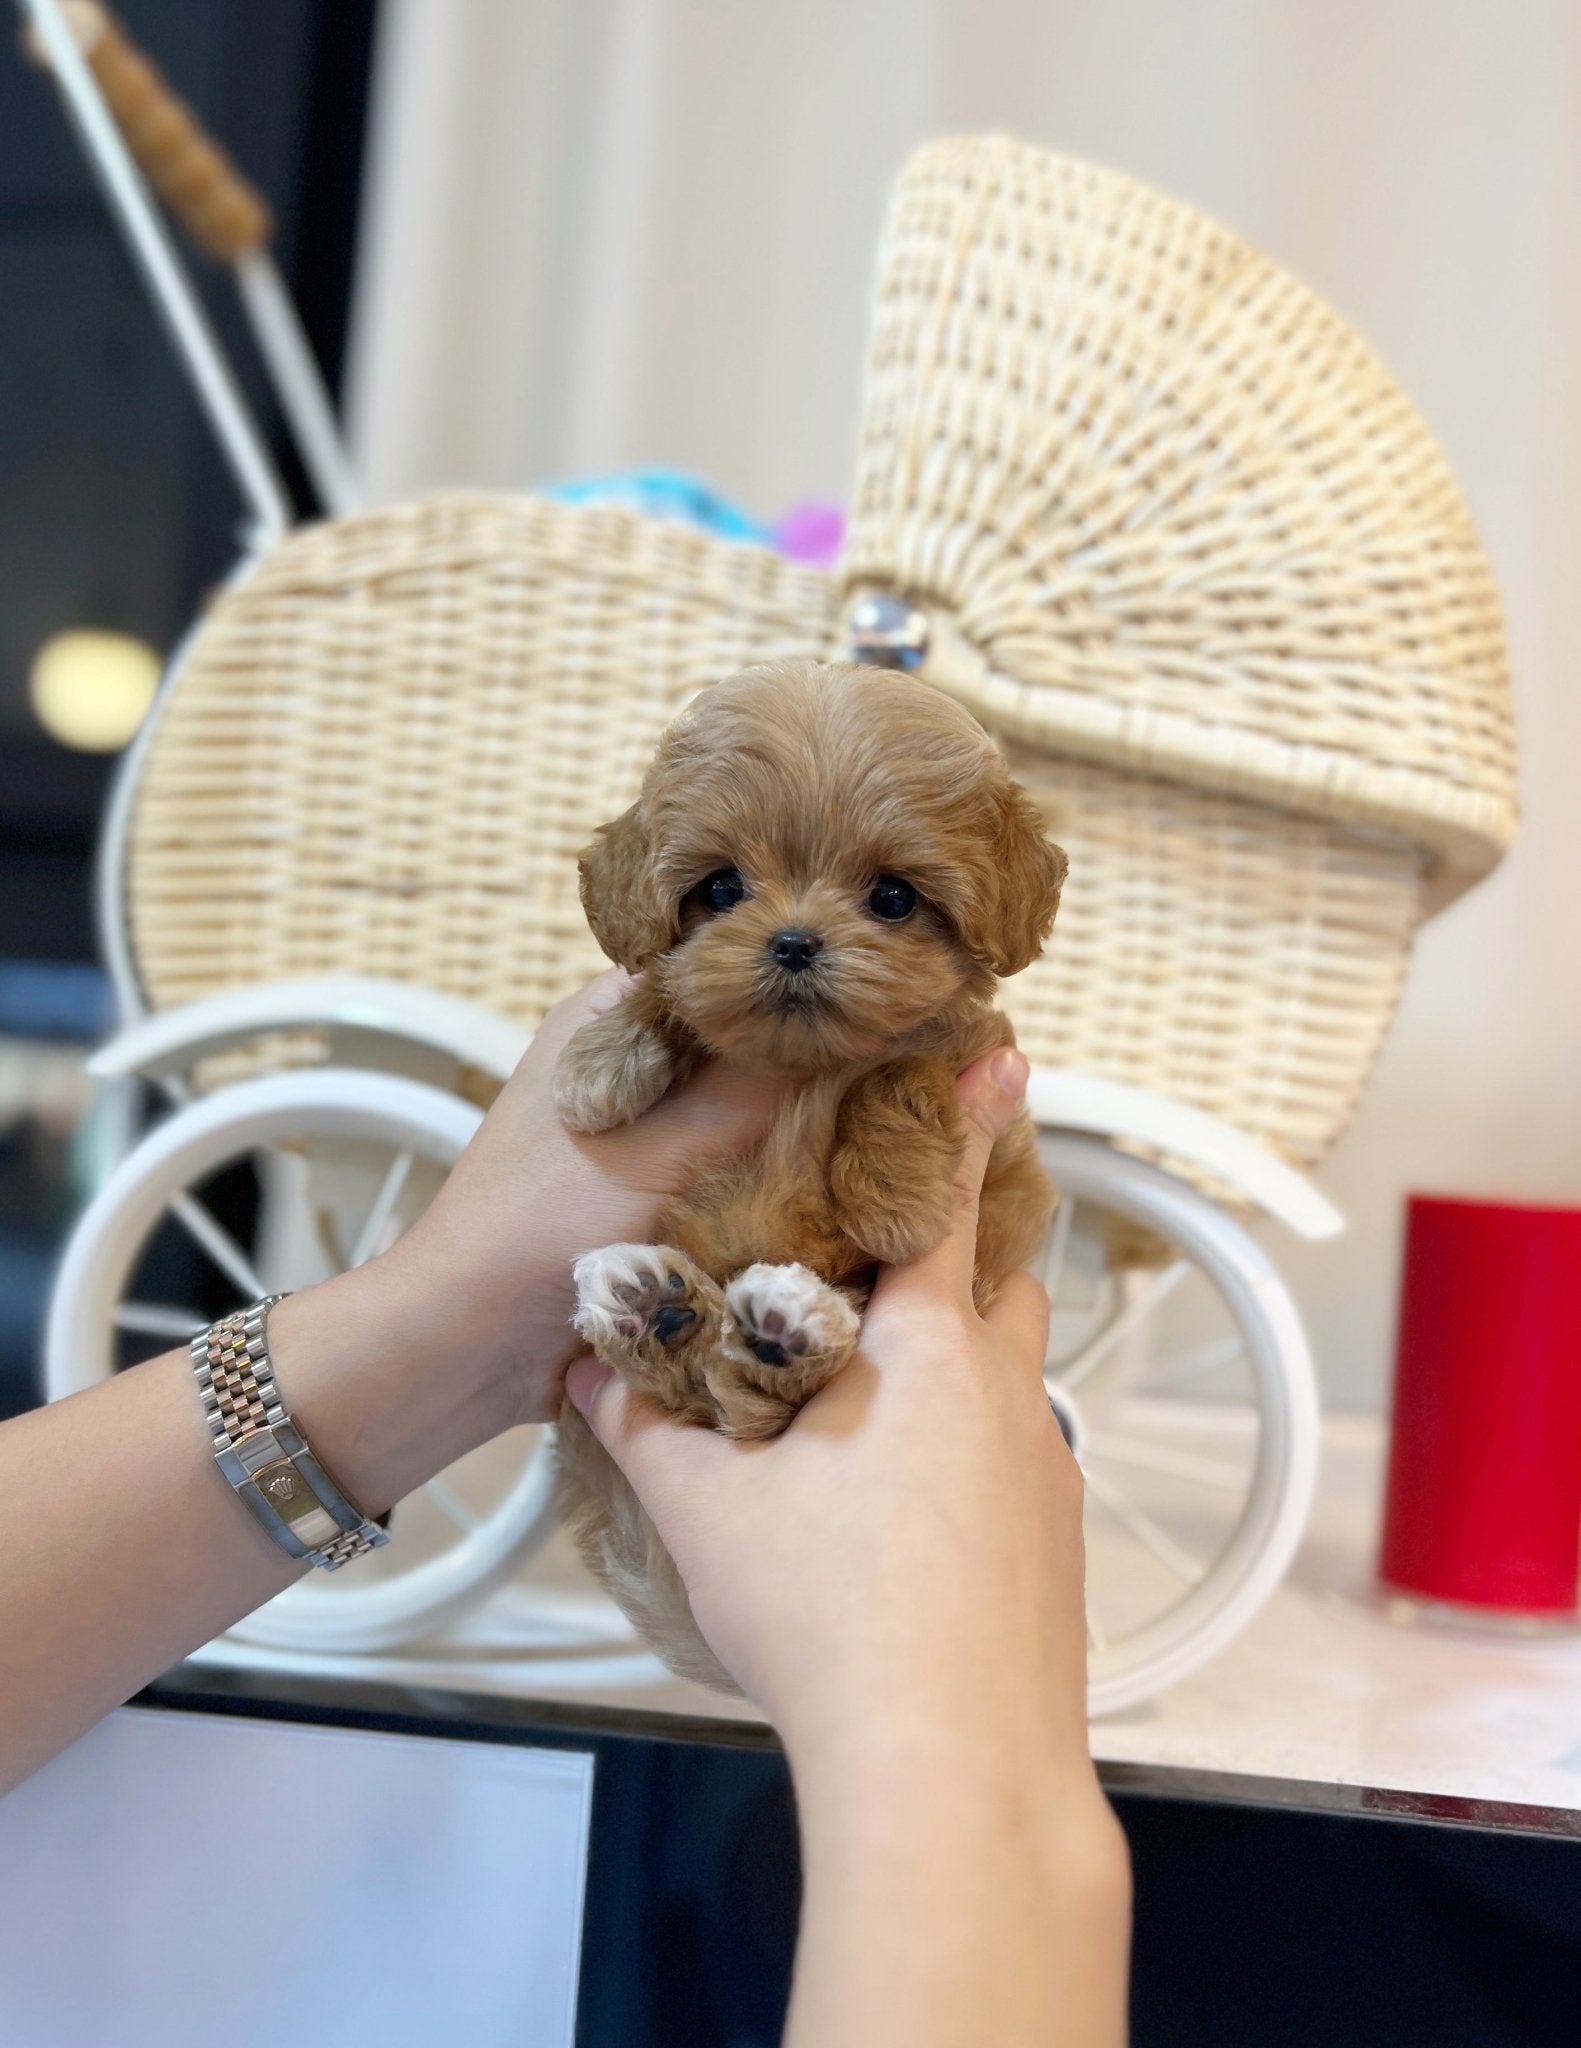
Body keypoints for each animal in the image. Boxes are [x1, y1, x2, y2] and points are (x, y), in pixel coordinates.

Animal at [552, 663, 1064, 1687]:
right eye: (720, 888)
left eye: (894, 899)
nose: (791, 941)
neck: (801, 1064)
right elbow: (667, 986)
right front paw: (600, 1065)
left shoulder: (985, 1114)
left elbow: (897, 1070)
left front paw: (896, 1199)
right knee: (706, 1388)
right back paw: (655, 1304)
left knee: (750, 1397)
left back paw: (780, 1321)